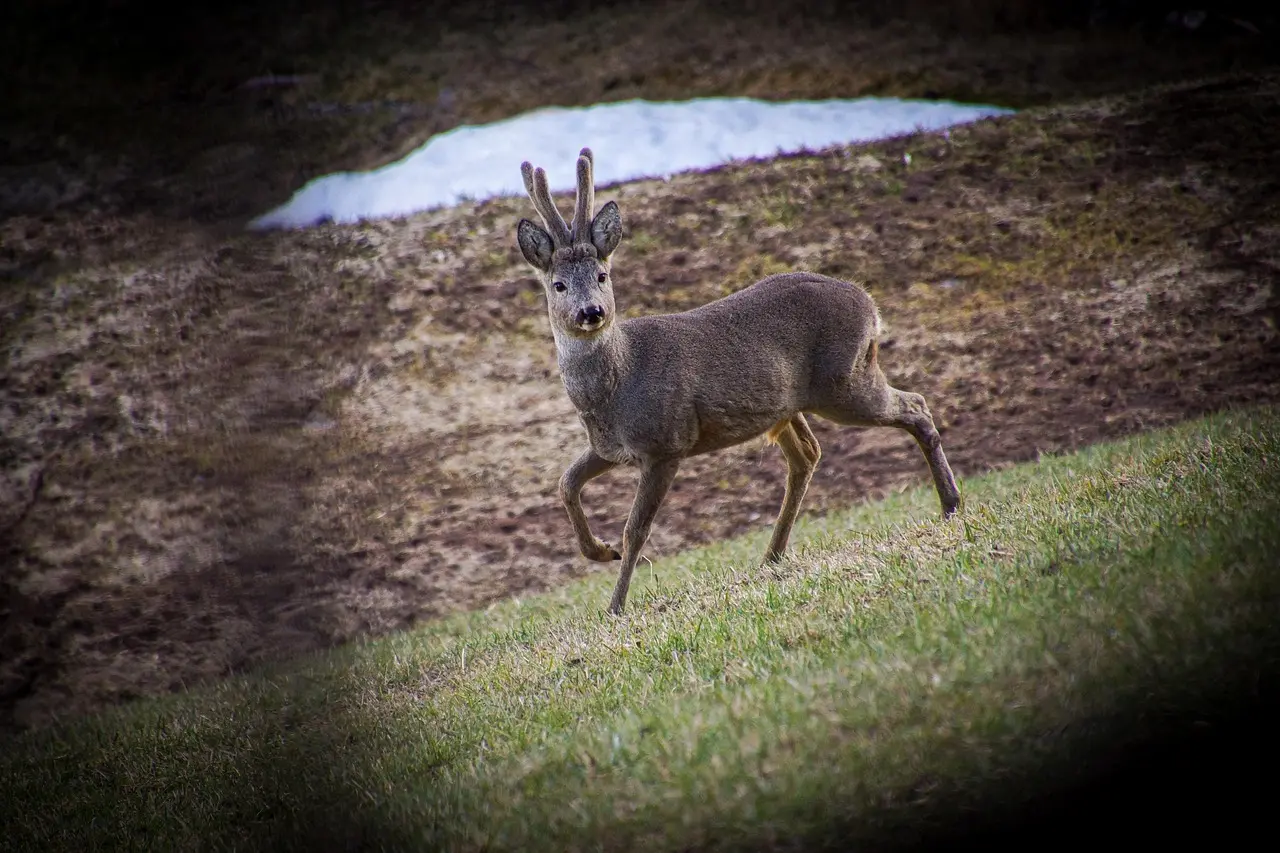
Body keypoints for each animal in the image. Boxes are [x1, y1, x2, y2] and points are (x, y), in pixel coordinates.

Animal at [515, 148, 960, 615]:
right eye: (558, 284)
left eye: (602, 276)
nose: (592, 312)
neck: (615, 386)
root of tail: (870, 304)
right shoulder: (610, 447)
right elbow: (565, 484)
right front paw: (601, 551)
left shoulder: (665, 444)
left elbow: (635, 530)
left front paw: (615, 605)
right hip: (791, 405)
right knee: (808, 454)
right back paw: (772, 556)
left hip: (845, 383)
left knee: (915, 405)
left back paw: (950, 505)